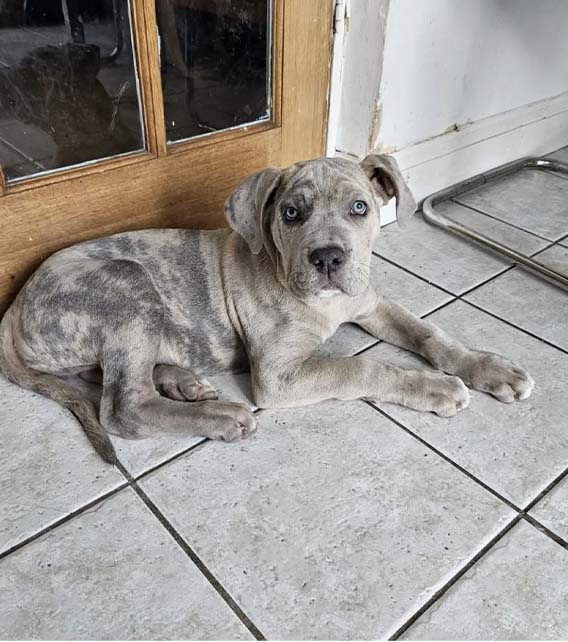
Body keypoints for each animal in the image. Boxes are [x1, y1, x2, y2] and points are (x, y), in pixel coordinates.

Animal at [0, 157, 536, 462]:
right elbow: (359, 367)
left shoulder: (372, 303)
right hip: (124, 282)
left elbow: (429, 334)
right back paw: (218, 415)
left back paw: (184, 382)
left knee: (106, 376)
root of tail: (17, 303)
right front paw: (433, 387)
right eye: (291, 214)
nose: (328, 259)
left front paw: (486, 367)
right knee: (121, 406)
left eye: (360, 208)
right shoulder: (279, 375)